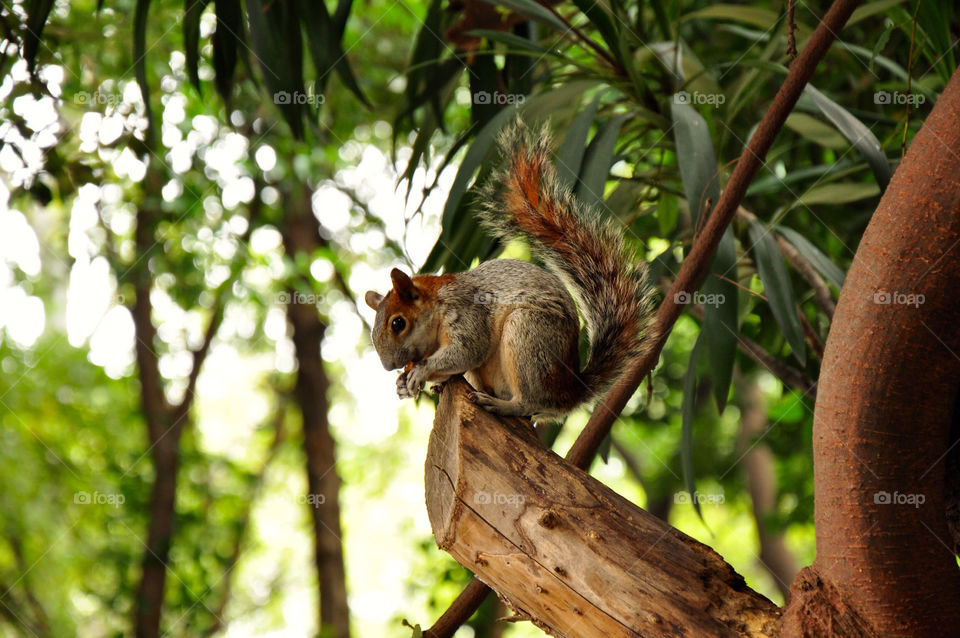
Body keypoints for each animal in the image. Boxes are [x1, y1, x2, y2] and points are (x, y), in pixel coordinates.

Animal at [364, 121, 656, 420]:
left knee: (530, 402)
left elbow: (467, 349)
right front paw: (403, 384)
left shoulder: (467, 313)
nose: (389, 366)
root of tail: (569, 391)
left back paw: (503, 404)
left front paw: (421, 371)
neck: (436, 308)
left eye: (398, 323)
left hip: (528, 335)